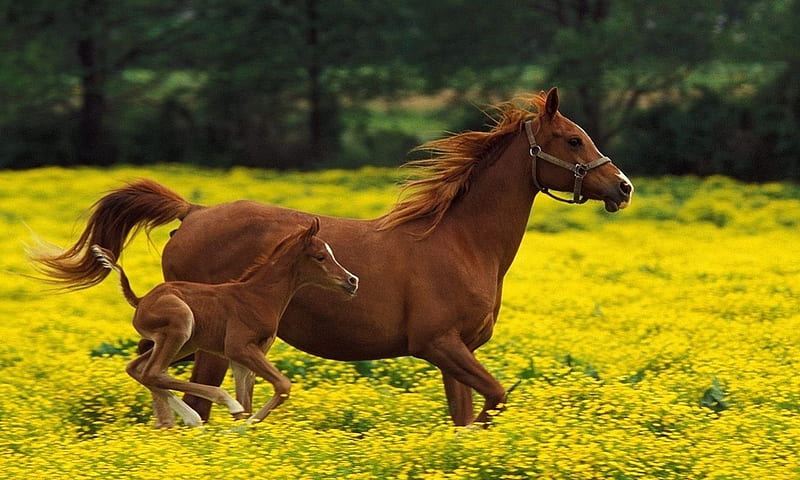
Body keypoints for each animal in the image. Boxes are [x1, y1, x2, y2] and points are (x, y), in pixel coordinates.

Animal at [90, 218, 360, 428]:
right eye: (321, 257)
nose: (352, 281)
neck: (259, 296)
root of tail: (141, 300)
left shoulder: (245, 356)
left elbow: (249, 399)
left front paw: (241, 430)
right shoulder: (238, 347)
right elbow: (282, 385)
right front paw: (241, 425)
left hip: (184, 343)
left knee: (139, 369)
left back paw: (189, 418)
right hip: (181, 324)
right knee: (153, 371)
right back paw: (215, 407)